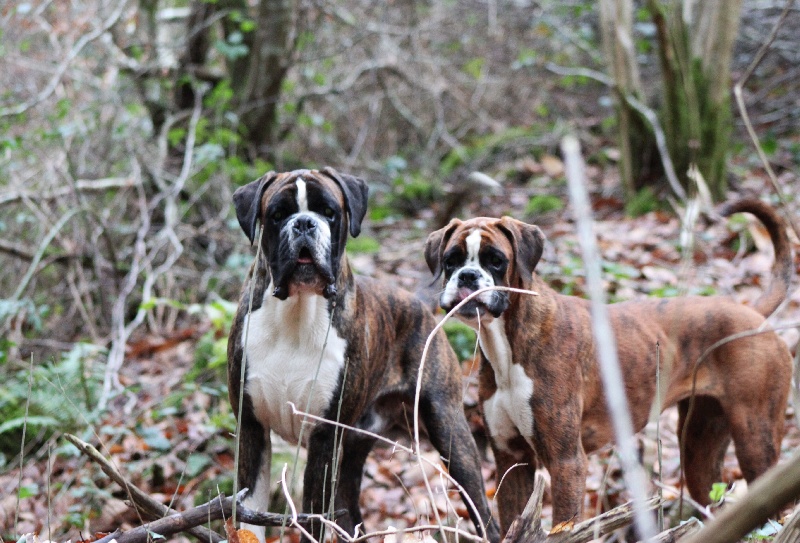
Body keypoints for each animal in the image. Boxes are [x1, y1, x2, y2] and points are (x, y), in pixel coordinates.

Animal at [227, 168, 500, 543]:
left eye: (329, 212)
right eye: (278, 214)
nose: (304, 224)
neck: (295, 312)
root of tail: (416, 302)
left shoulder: (324, 438)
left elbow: (313, 517)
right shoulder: (252, 430)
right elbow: (249, 515)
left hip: (449, 430)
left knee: (483, 512)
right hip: (354, 449)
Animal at [424, 200, 792, 536]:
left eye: (496, 260)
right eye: (450, 261)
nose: (467, 276)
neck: (507, 342)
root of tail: (752, 313)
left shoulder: (566, 462)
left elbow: (564, 525)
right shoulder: (511, 460)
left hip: (755, 438)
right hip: (699, 448)